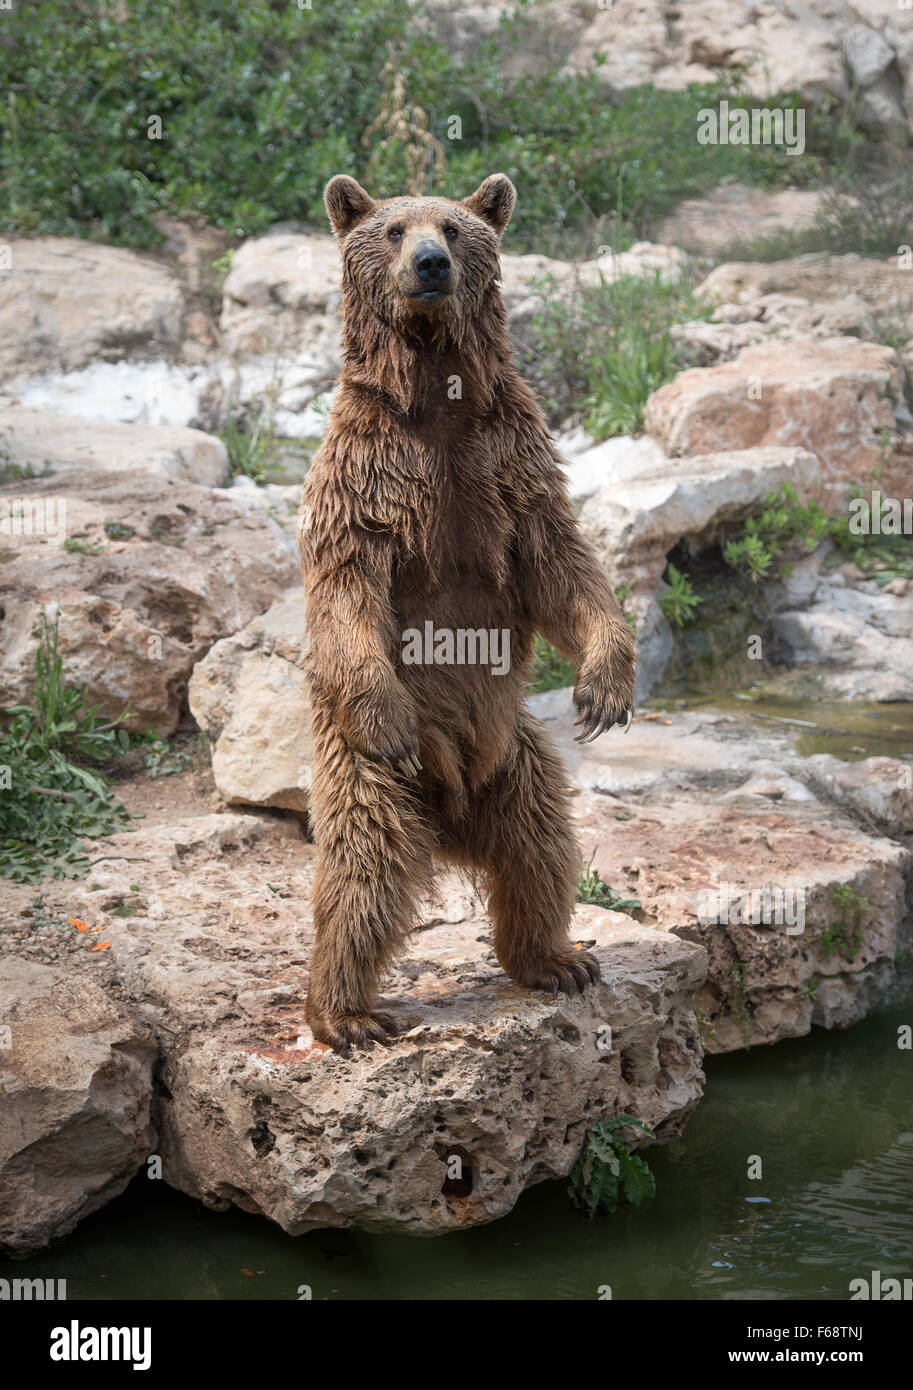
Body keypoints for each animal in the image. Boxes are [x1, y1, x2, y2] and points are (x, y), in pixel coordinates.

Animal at [298, 170, 633, 1050]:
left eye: (452, 226)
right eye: (391, 229)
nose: (429, 265)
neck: (436, 393)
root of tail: (451, 820)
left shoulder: (509, 463)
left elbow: (562, 569)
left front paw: (604, 688)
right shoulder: (366, 478)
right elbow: (347, 588)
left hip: (516, 758)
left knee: (541, 850)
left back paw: (556, 959)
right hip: (369, 772)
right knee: (365, 869)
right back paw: (345, 1012)